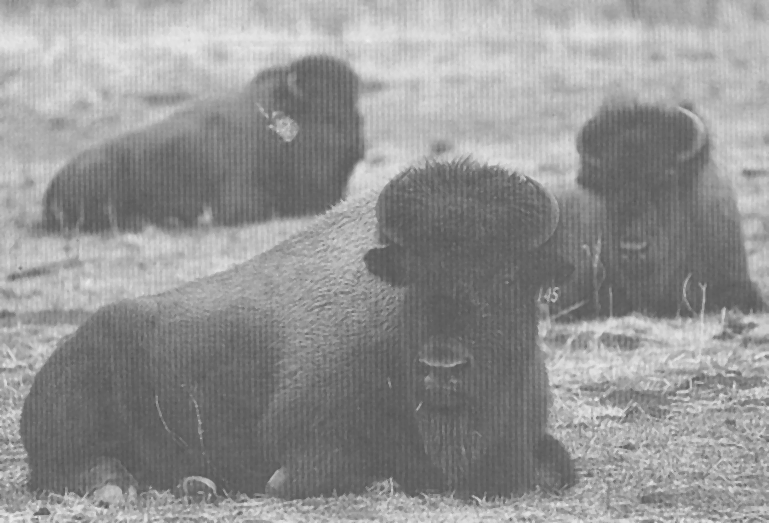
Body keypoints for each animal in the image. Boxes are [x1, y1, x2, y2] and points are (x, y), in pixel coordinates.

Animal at [21, 159, 576, 500]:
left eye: (507, 278)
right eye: (415, 279)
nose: (443, 367)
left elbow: (556, 465)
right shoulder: (303, 439)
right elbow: (298, 477)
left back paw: (196, 484)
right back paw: (123, 488)